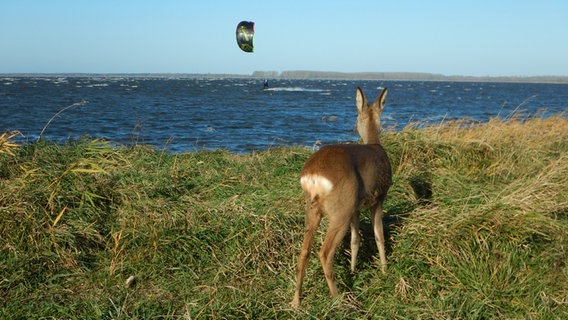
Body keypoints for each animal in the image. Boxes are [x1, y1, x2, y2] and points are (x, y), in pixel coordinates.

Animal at [292, 86, 390, 306]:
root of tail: (313, 176)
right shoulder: (378, 199)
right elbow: (379, 236)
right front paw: (385, 269)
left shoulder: (356, 207)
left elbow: (355, 239)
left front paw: (353, 271)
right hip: (340, 209)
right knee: (324, 252)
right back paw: (337, 299)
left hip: (313, 208)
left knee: (304, 251)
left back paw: (295, 302)